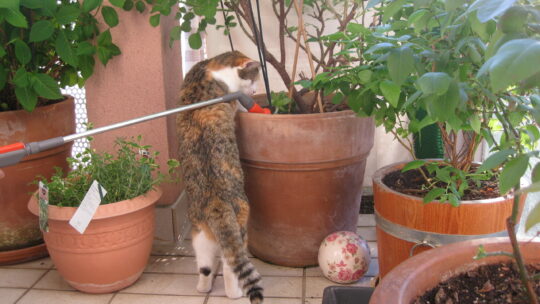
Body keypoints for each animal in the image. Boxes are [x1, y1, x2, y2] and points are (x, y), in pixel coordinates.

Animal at [176, 51, 262, 302]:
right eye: (252, 80)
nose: (255, 91)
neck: (210, 69)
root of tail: (217, 203)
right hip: (240, 227)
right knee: (230, 264)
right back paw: (235, 294)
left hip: (199, 236)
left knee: (205, 266)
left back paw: (203, 288)